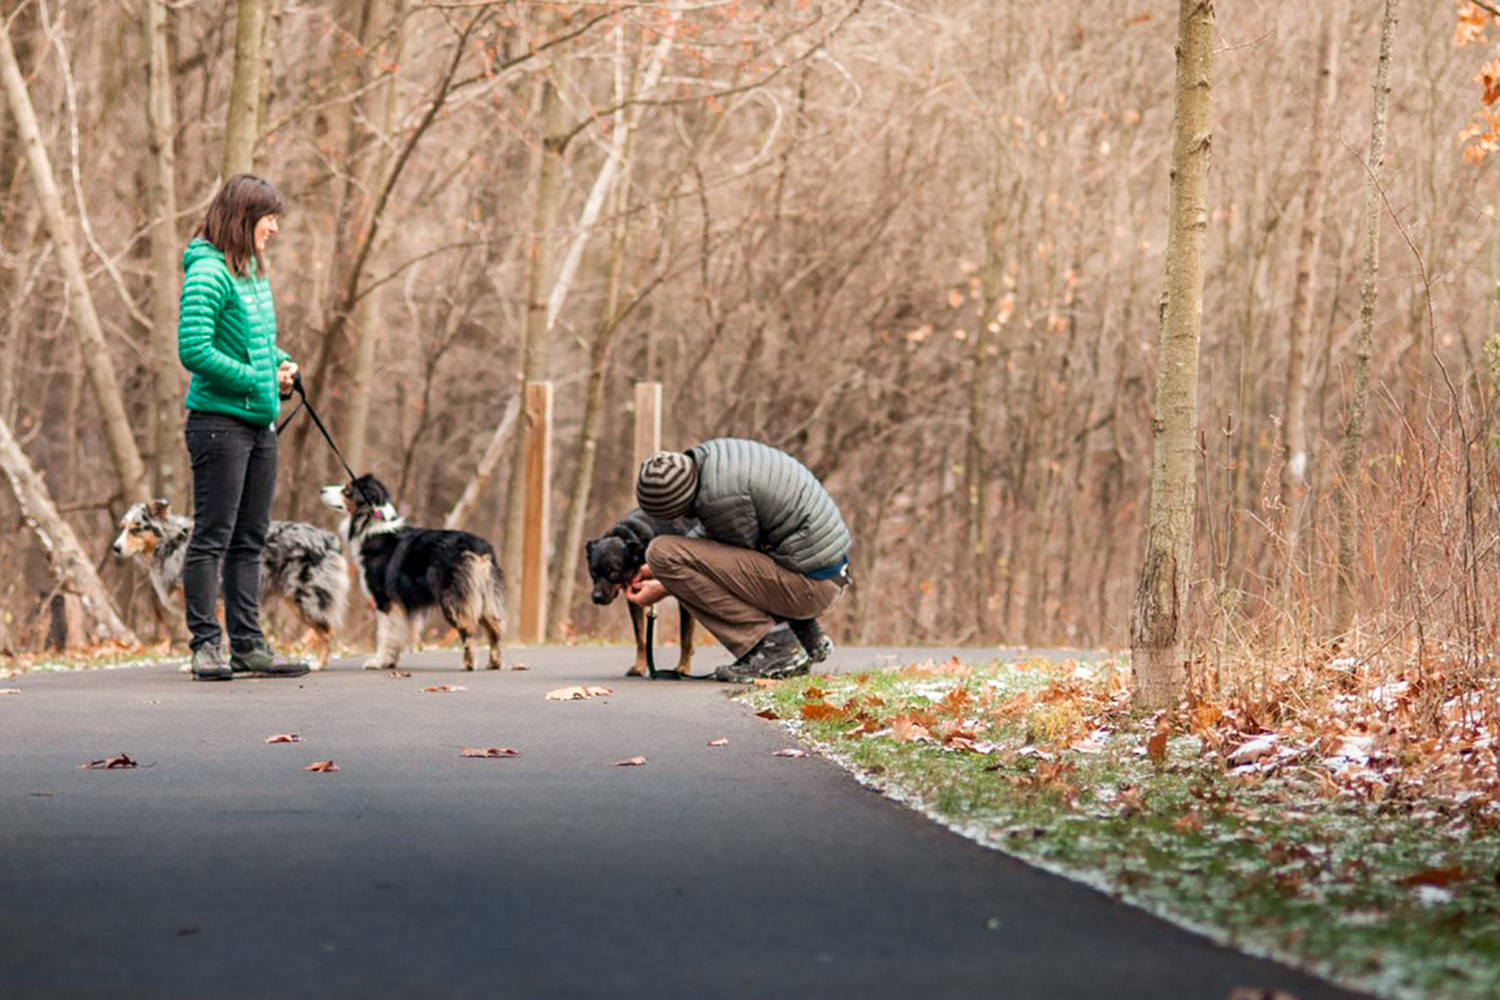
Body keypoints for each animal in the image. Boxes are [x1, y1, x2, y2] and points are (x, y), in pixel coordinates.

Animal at [111, 497, 348, 668]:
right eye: (122, 527)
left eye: (135, 529)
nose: (115, 548)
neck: (171, 543)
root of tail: (326, 538)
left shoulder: (210, 603)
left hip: (301, 596)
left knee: (327, 632)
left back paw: (318, 665)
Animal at [316, 470, 504, 671]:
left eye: (347, 490)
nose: (322, 490)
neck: (371, 523)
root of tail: (479, 548)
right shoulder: (401, 604)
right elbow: (398, 632)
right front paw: (390, 661)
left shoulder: (384, 599)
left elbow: (384, 633)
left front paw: (378, 661)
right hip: (484, 593)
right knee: (494, 625)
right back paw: (494, 662)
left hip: (453, 595)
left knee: (467, 627)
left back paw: (468, 664)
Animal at [585, 509, 702, 680]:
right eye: (593, 573)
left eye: (613, 571)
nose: (597, 597)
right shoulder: (635, 599)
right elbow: (640, 637)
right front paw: (639, 666)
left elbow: (684, 637)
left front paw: (683, 668)